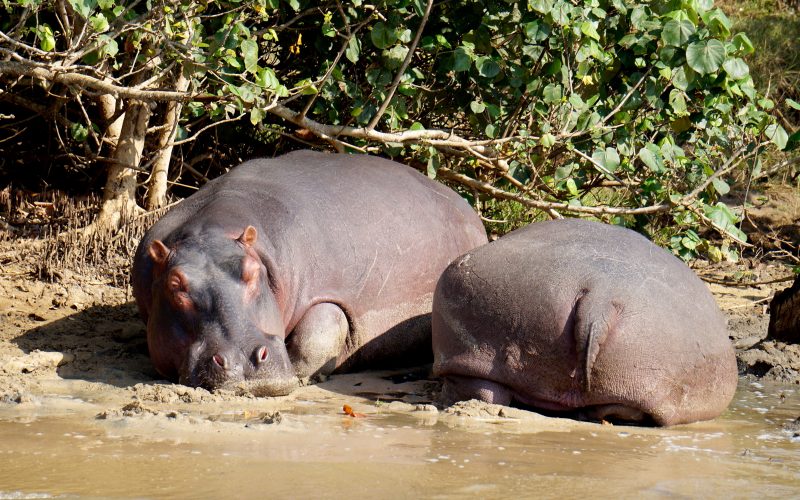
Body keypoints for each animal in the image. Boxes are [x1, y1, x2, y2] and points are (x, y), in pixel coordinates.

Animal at [131, 148, 488, 394]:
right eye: (175, 284)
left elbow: (317, 335)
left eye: (252, 271)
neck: (213, 232)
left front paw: (307, 376)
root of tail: (465, 205)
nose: (243, 360)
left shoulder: (327, 296)